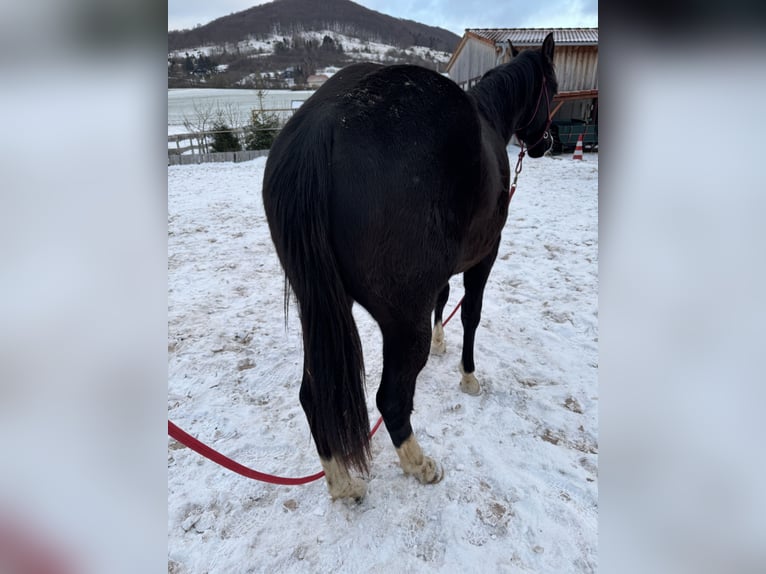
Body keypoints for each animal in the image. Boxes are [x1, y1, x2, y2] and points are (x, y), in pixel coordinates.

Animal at [262, 33, 557, 501]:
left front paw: (440, 343)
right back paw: (419, 464)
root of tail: (320, 128)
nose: (548, 142)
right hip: (401, 321)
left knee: (314, 395)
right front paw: (468, 377)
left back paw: (342, 483)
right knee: (391, 400)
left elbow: (444, 299)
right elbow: (470, 314)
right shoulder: (483, 256)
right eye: (554, 87)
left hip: (319, 307)